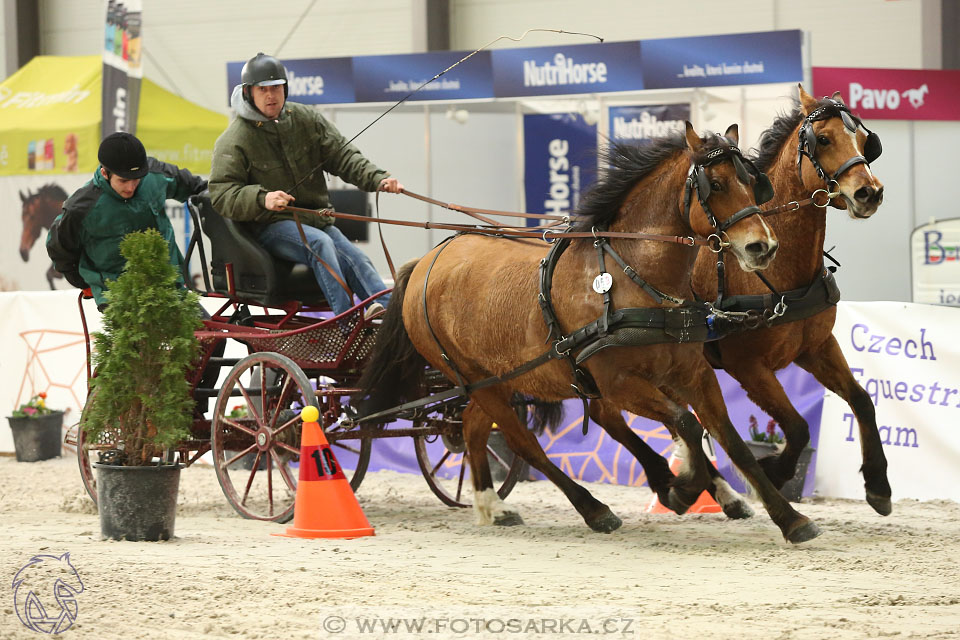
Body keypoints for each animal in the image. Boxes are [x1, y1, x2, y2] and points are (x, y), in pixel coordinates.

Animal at [360, 122, 816, 544]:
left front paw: (790, 519)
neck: (632, 274)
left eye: (751, 182)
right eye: (715, 184)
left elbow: (732, 442)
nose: (763, 247)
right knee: (525, 443)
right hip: (474, 378)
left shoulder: (693, 374)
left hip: (499, 379)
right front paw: (681, 487)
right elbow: (686, 424)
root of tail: (427, 260)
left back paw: (493, 505)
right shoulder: (618, 382)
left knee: (473, 426)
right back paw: (593, 508)